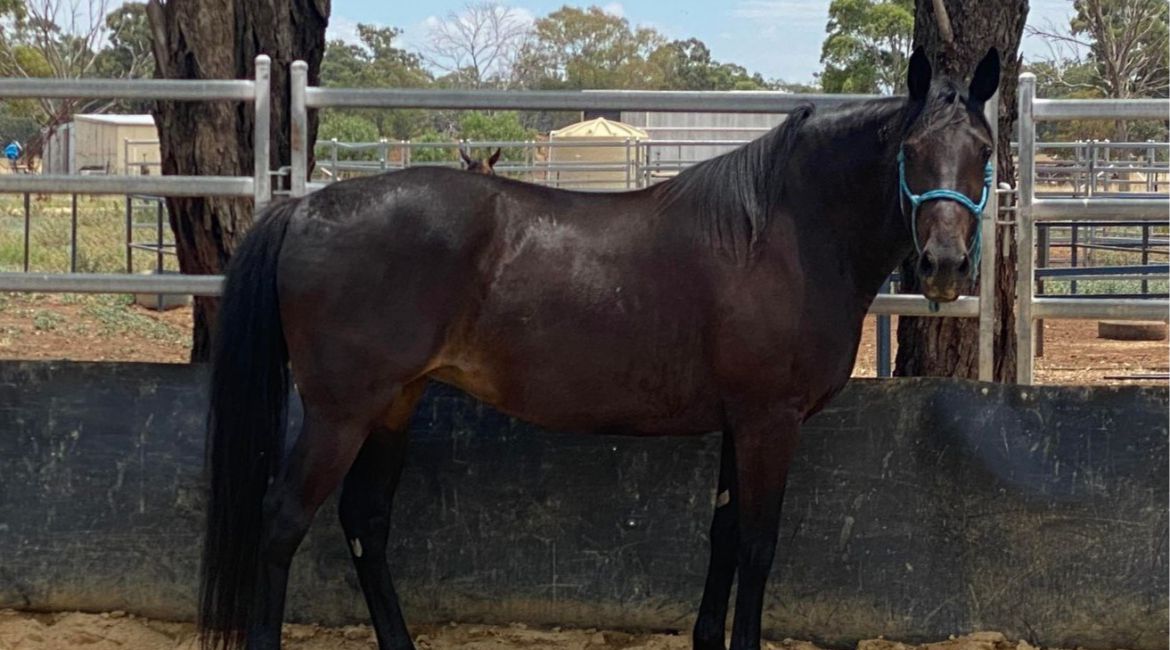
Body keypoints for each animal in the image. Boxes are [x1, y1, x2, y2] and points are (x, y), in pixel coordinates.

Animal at [198, 47, 996, 650]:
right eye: (912, 151)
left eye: (983, 152)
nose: (945, 266)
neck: (779, 233)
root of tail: (307, 206)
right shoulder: (769, 422)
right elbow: (759, 546)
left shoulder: (739, 422)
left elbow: (724, 535)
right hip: (341, 414)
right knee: (282, 523)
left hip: (395, 403)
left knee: (365, 519)